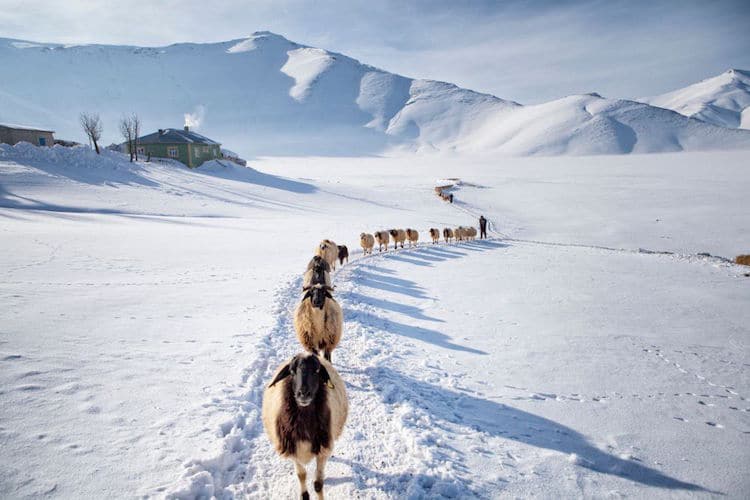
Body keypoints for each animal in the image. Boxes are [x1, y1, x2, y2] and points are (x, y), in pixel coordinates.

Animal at [262, 354, 348, 500]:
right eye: (291, 371)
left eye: (317, 371)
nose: (303, 394)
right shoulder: (293, 449)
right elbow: (301, 475)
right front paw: (304, 495)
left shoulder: (322, 450)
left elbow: (318, 484)